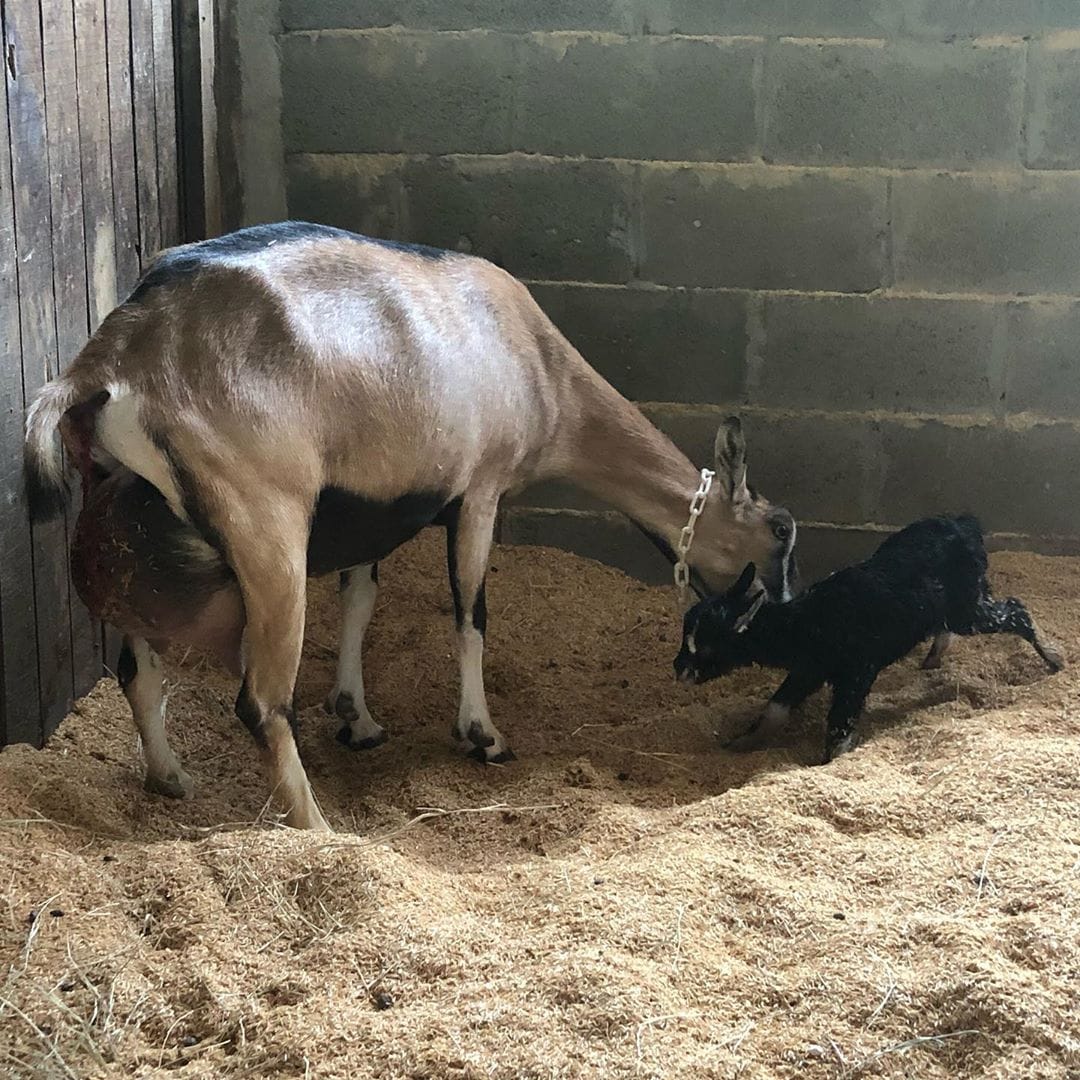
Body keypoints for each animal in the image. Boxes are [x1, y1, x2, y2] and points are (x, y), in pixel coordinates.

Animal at [25, 221, 798, 831]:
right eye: (783, 532)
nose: (785, 614)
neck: (539, 366)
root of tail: (116, 357)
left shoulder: (367, 510)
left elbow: (361, 601)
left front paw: (357, 718)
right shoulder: (481, 491)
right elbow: (471, 615)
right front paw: (483, 736)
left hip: (121, 515)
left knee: (137, 666)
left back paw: (170, 778)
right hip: (267, 527)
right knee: (261, 703)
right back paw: (320, 829)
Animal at [674, 514, 1063, 763]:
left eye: (705, 645)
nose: (679, 669)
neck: (807, 622)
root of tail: (965, 525)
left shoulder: (858, 670)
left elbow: (839, 726)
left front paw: (833, 760)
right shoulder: (808, 670)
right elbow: (775, 708)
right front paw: (742, 743)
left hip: (967, 608)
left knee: (1015, 611)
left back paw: (1054, 658)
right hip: (954, 605)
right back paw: (933, 658)